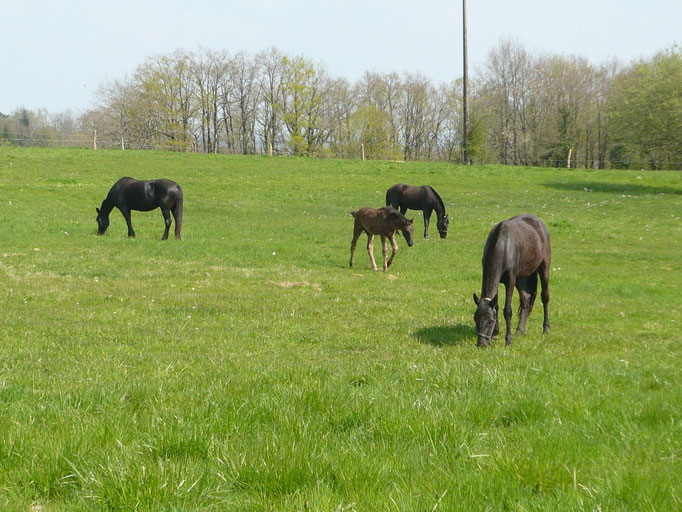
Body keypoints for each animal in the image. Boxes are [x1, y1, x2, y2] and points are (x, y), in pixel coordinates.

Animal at [470, 214, 548, 346]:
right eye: (475, 318)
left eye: (491, 320)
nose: (482, 344)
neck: (502, 246)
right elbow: (496, 306)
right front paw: (495, 334)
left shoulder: (510, 280)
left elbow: (507, 310)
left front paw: (508, 339)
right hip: (522, 277)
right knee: (526, 298)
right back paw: (520, 330)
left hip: (544, 268)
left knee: (545, 296)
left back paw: (546, 328)